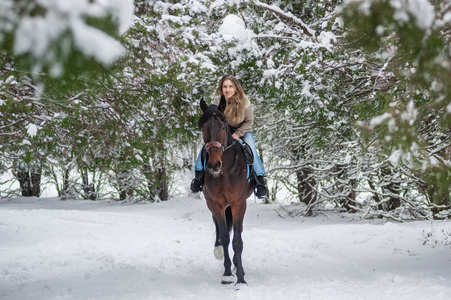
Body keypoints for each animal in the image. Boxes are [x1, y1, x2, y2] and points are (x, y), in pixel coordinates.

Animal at [199, 96, 254, 286]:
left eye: (224, 127)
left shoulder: (238, 203)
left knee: (239, 231)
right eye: (203, 127)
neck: (225, 171)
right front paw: (228, 274)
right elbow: (224, 237)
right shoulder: (216, 204)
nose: (213, 165)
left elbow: (237, 240)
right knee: (219, 228)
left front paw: (241, 278)